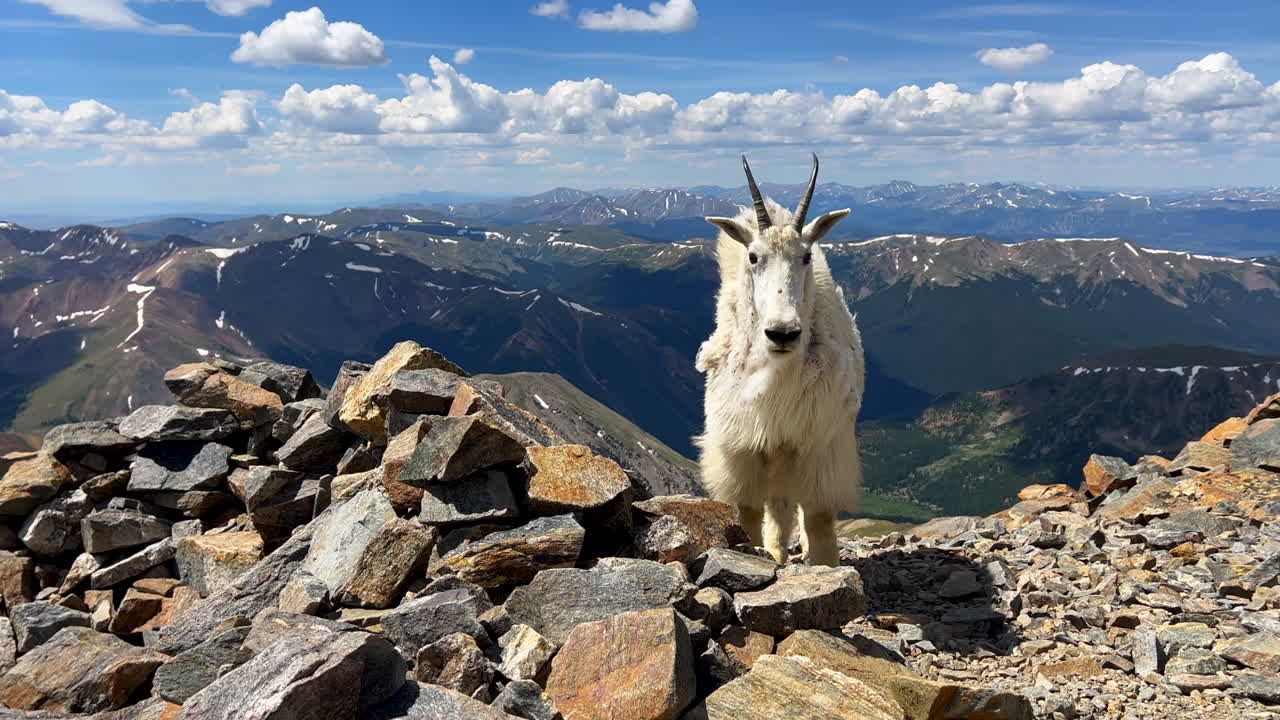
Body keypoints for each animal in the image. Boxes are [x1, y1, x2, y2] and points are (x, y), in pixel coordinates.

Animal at [694, 153, 864, 566]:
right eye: (754, 256)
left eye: (805, 255)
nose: (782, 332)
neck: (778, 377)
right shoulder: (742, 447)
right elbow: (749, 510)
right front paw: (755, 552)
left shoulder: (820, 446)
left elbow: (818, 519)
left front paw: (824, 565)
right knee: (776, 505)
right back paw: (775, 552)